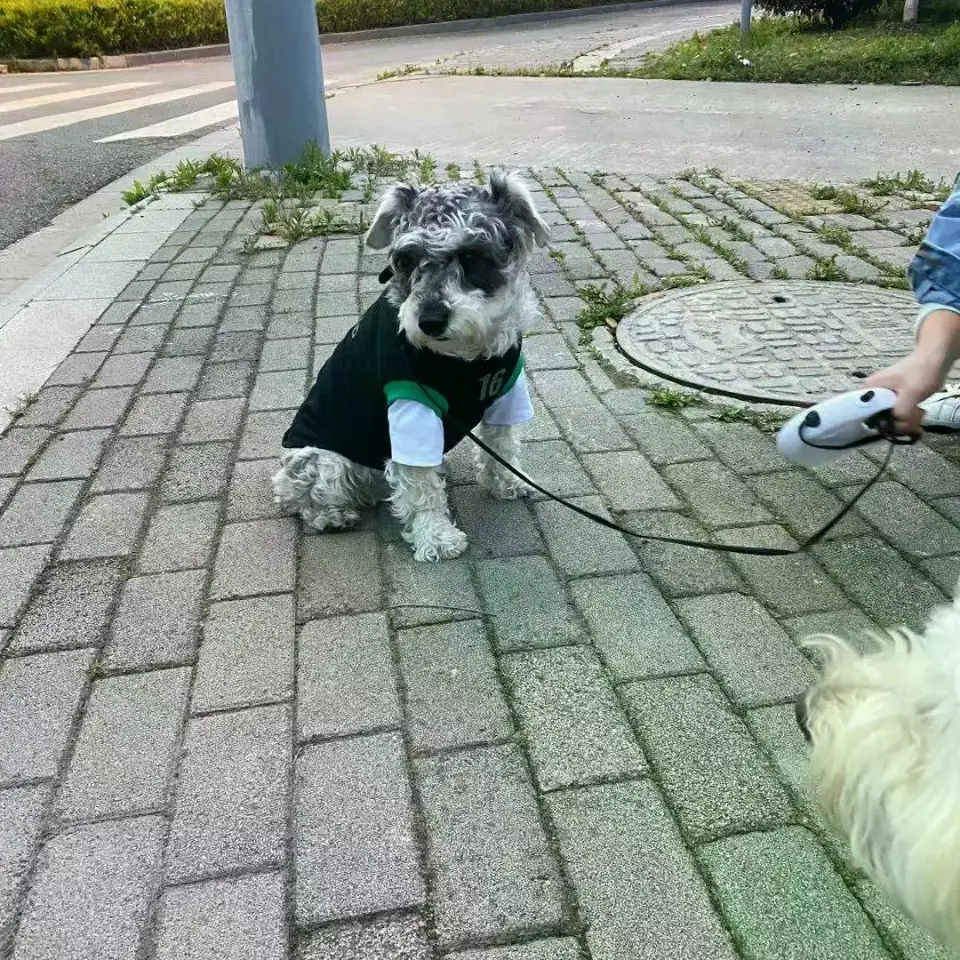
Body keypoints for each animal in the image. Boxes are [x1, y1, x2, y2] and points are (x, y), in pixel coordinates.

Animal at [274, 171, 552, 564]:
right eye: (407, 258)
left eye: (473, 254)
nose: (430, 321)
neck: (463, 358)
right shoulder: (412, 408)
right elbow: (420, 486)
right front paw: (436, 536)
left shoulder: (507, 391)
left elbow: (503, 444)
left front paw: (507, 482)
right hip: (323, 460)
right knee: (301, 493)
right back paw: (331, 515)